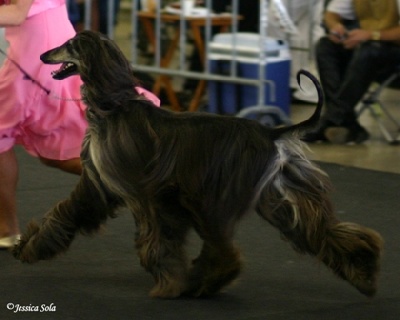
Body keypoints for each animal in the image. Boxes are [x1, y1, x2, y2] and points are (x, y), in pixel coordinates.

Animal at [12, 30, 382, 298]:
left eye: (70, 45)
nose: (43, 55)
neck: (113, 107)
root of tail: (270, 131)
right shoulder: (99, 185)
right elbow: (64, 214)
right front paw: (27, 247)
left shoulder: (145, 193)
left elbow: (157, 237)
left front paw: (169, 282)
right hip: (276, 195)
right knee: (320, 230)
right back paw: (364, 273)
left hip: (215, 195)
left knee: (224, 248)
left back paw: (203, 283)